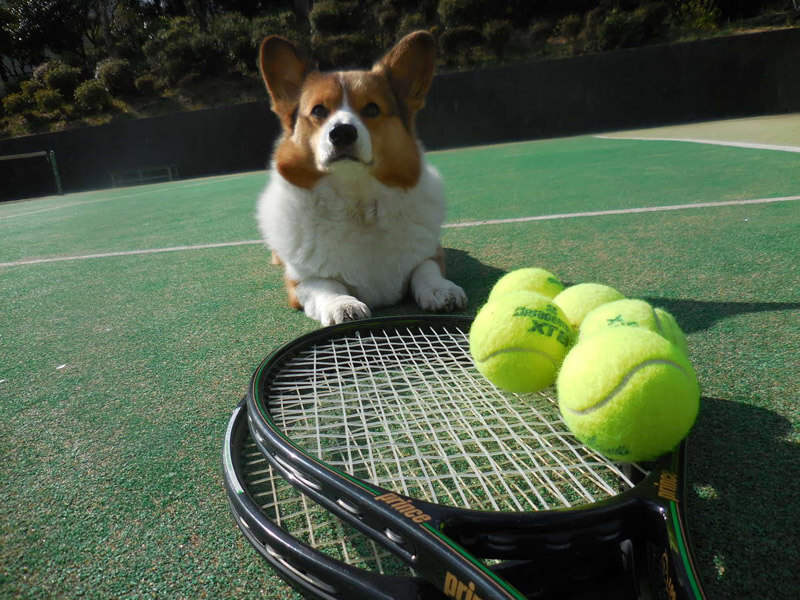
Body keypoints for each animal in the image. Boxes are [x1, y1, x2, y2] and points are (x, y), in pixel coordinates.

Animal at [256, 30, 468, 326]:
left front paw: (441, 290)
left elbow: (424, 270)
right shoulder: (300, 282)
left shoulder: (431, 255)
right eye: (319, 111)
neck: (357, 203)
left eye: (372, 109)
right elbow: (326, 285)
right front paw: (342, 305)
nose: (342, 133)